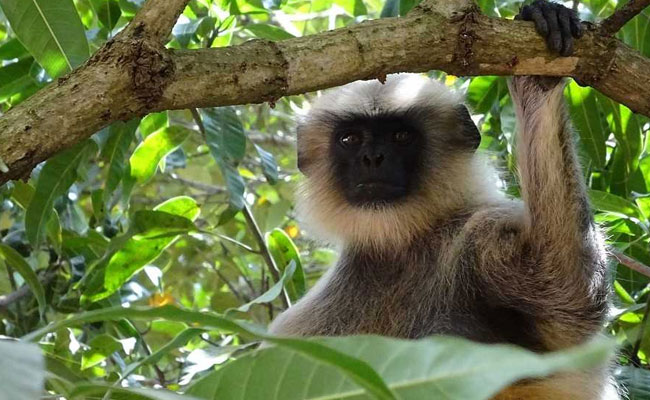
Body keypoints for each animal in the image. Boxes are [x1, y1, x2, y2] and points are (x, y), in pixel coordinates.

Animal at [269, 1, 618, 398]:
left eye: (401, 136)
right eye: (350, 139)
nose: (372, 158)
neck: (400, 251)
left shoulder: (478, 233)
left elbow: (570, 297)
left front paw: (537, 77)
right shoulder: (301, 330)